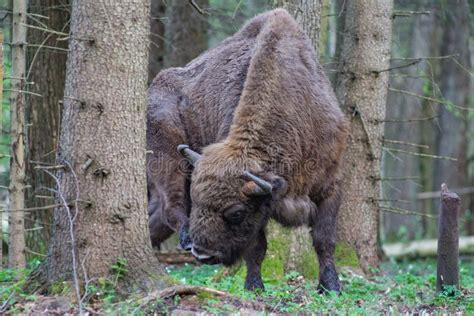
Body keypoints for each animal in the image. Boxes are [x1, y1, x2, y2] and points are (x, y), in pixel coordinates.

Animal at [147, 9, 348, 292]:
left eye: (236, 213)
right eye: (196, 202)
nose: (203, 254)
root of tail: (151, 91)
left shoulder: (331, 183)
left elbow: (324, 239)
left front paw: (330, 286)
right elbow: (257, 247)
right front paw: (254, 285)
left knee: (154, 216)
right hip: (169, 163)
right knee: (170, 208)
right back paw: (184, 238)